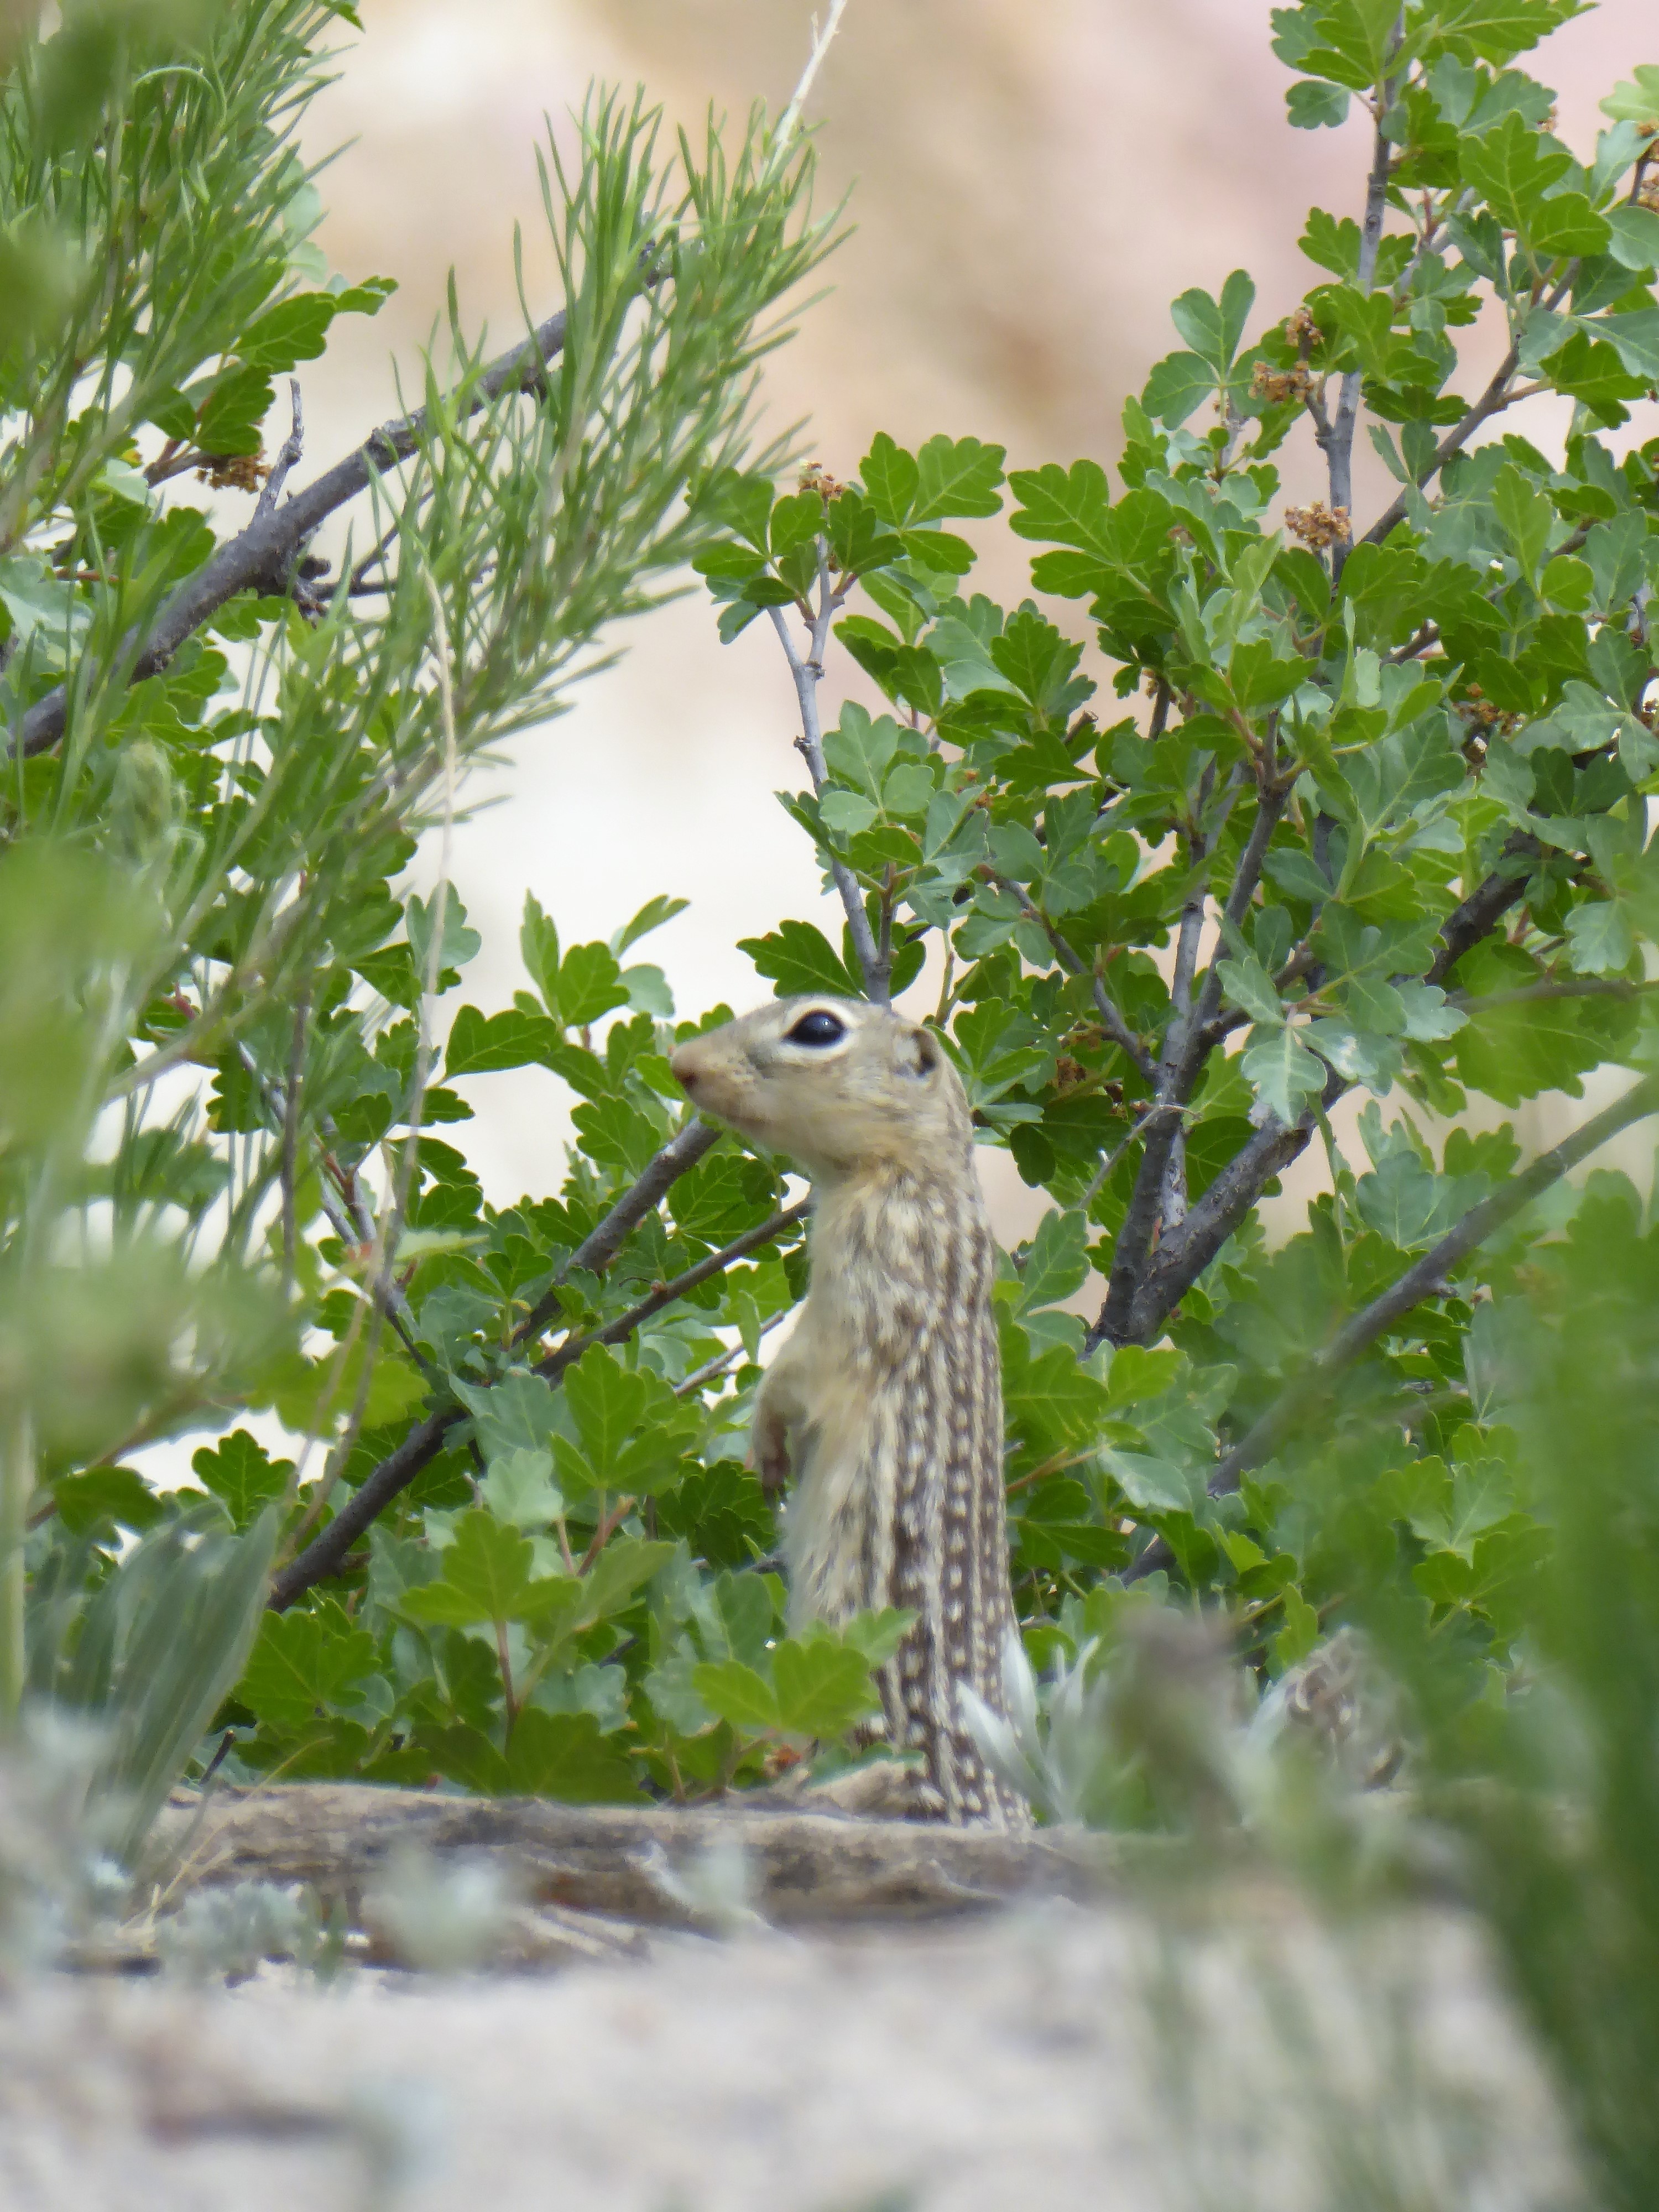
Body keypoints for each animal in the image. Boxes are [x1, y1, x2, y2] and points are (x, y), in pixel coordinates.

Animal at [672, 1004, 1035, 1832]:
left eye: (817, 1026)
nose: (681, 1062)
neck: (916, 1177)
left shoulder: (859, 1297)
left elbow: (793, 1376)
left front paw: (765, 1447)